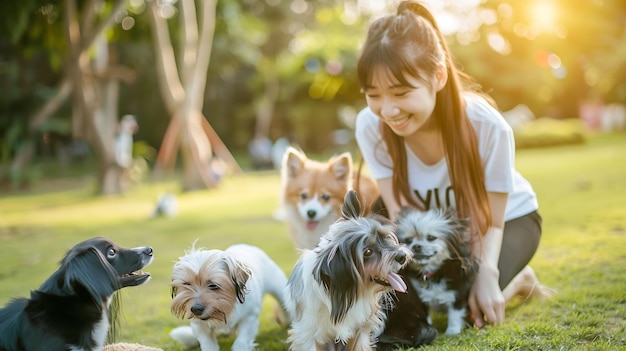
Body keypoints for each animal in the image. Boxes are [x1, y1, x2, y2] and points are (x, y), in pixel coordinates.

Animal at [282, 192, 410, 351]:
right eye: (368, 252)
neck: (342, 291)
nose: (402, 256)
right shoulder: (307, 334)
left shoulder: (360, 328)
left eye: (385, 237)